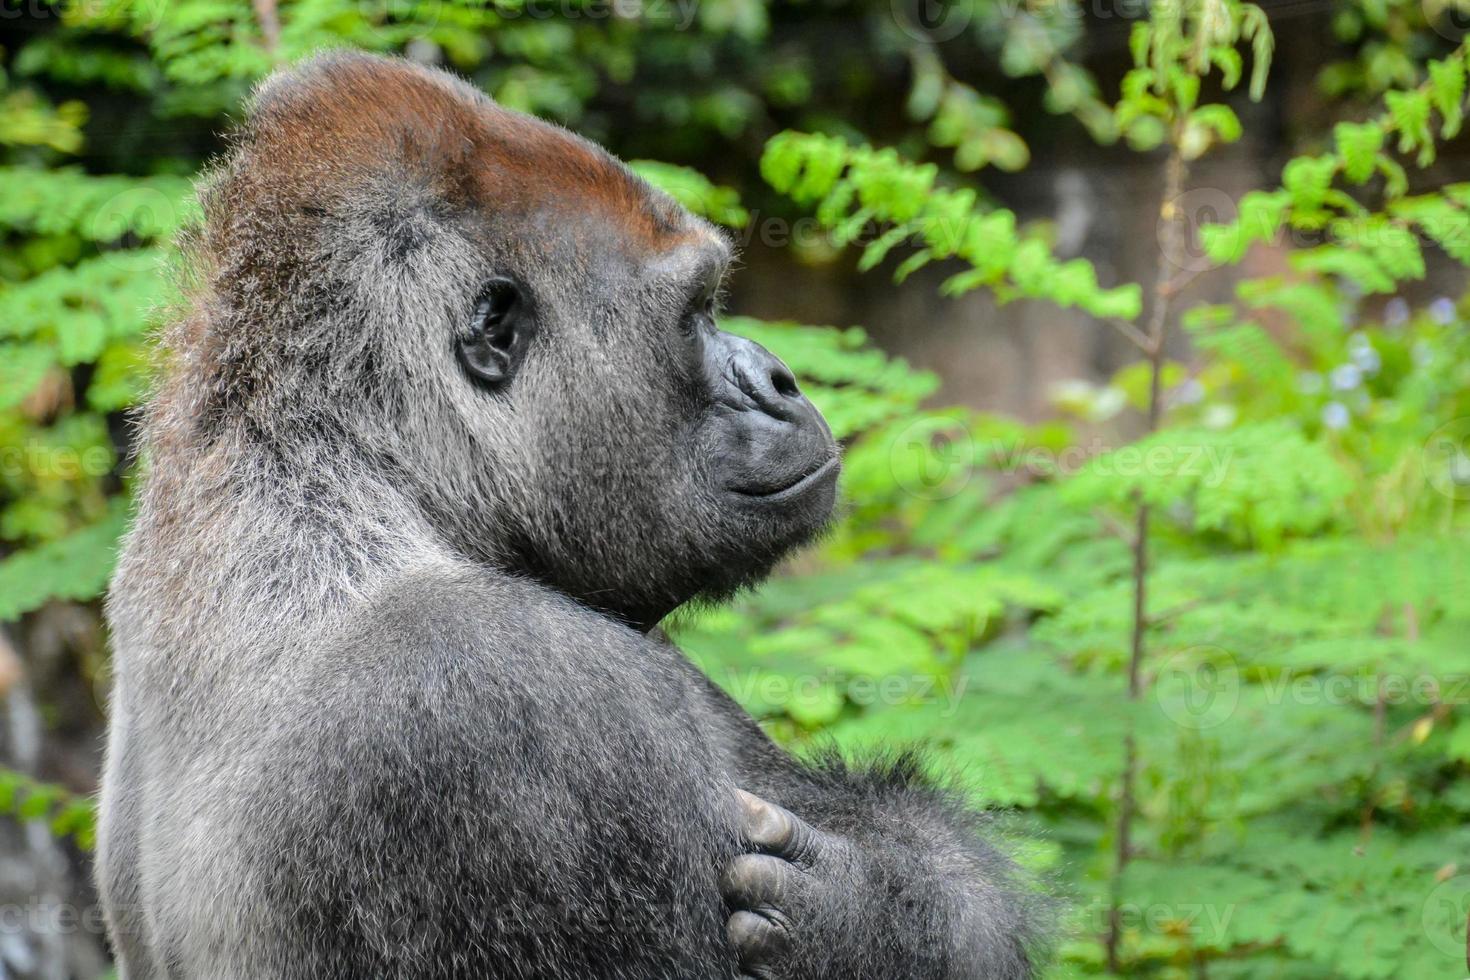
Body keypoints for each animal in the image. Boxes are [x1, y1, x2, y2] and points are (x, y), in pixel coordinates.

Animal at [100, 53, 1046, 980]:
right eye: (697, 312)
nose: (781, 379)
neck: (353, 469)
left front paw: (868, 902)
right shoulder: (493, 685)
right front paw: (860, 916)